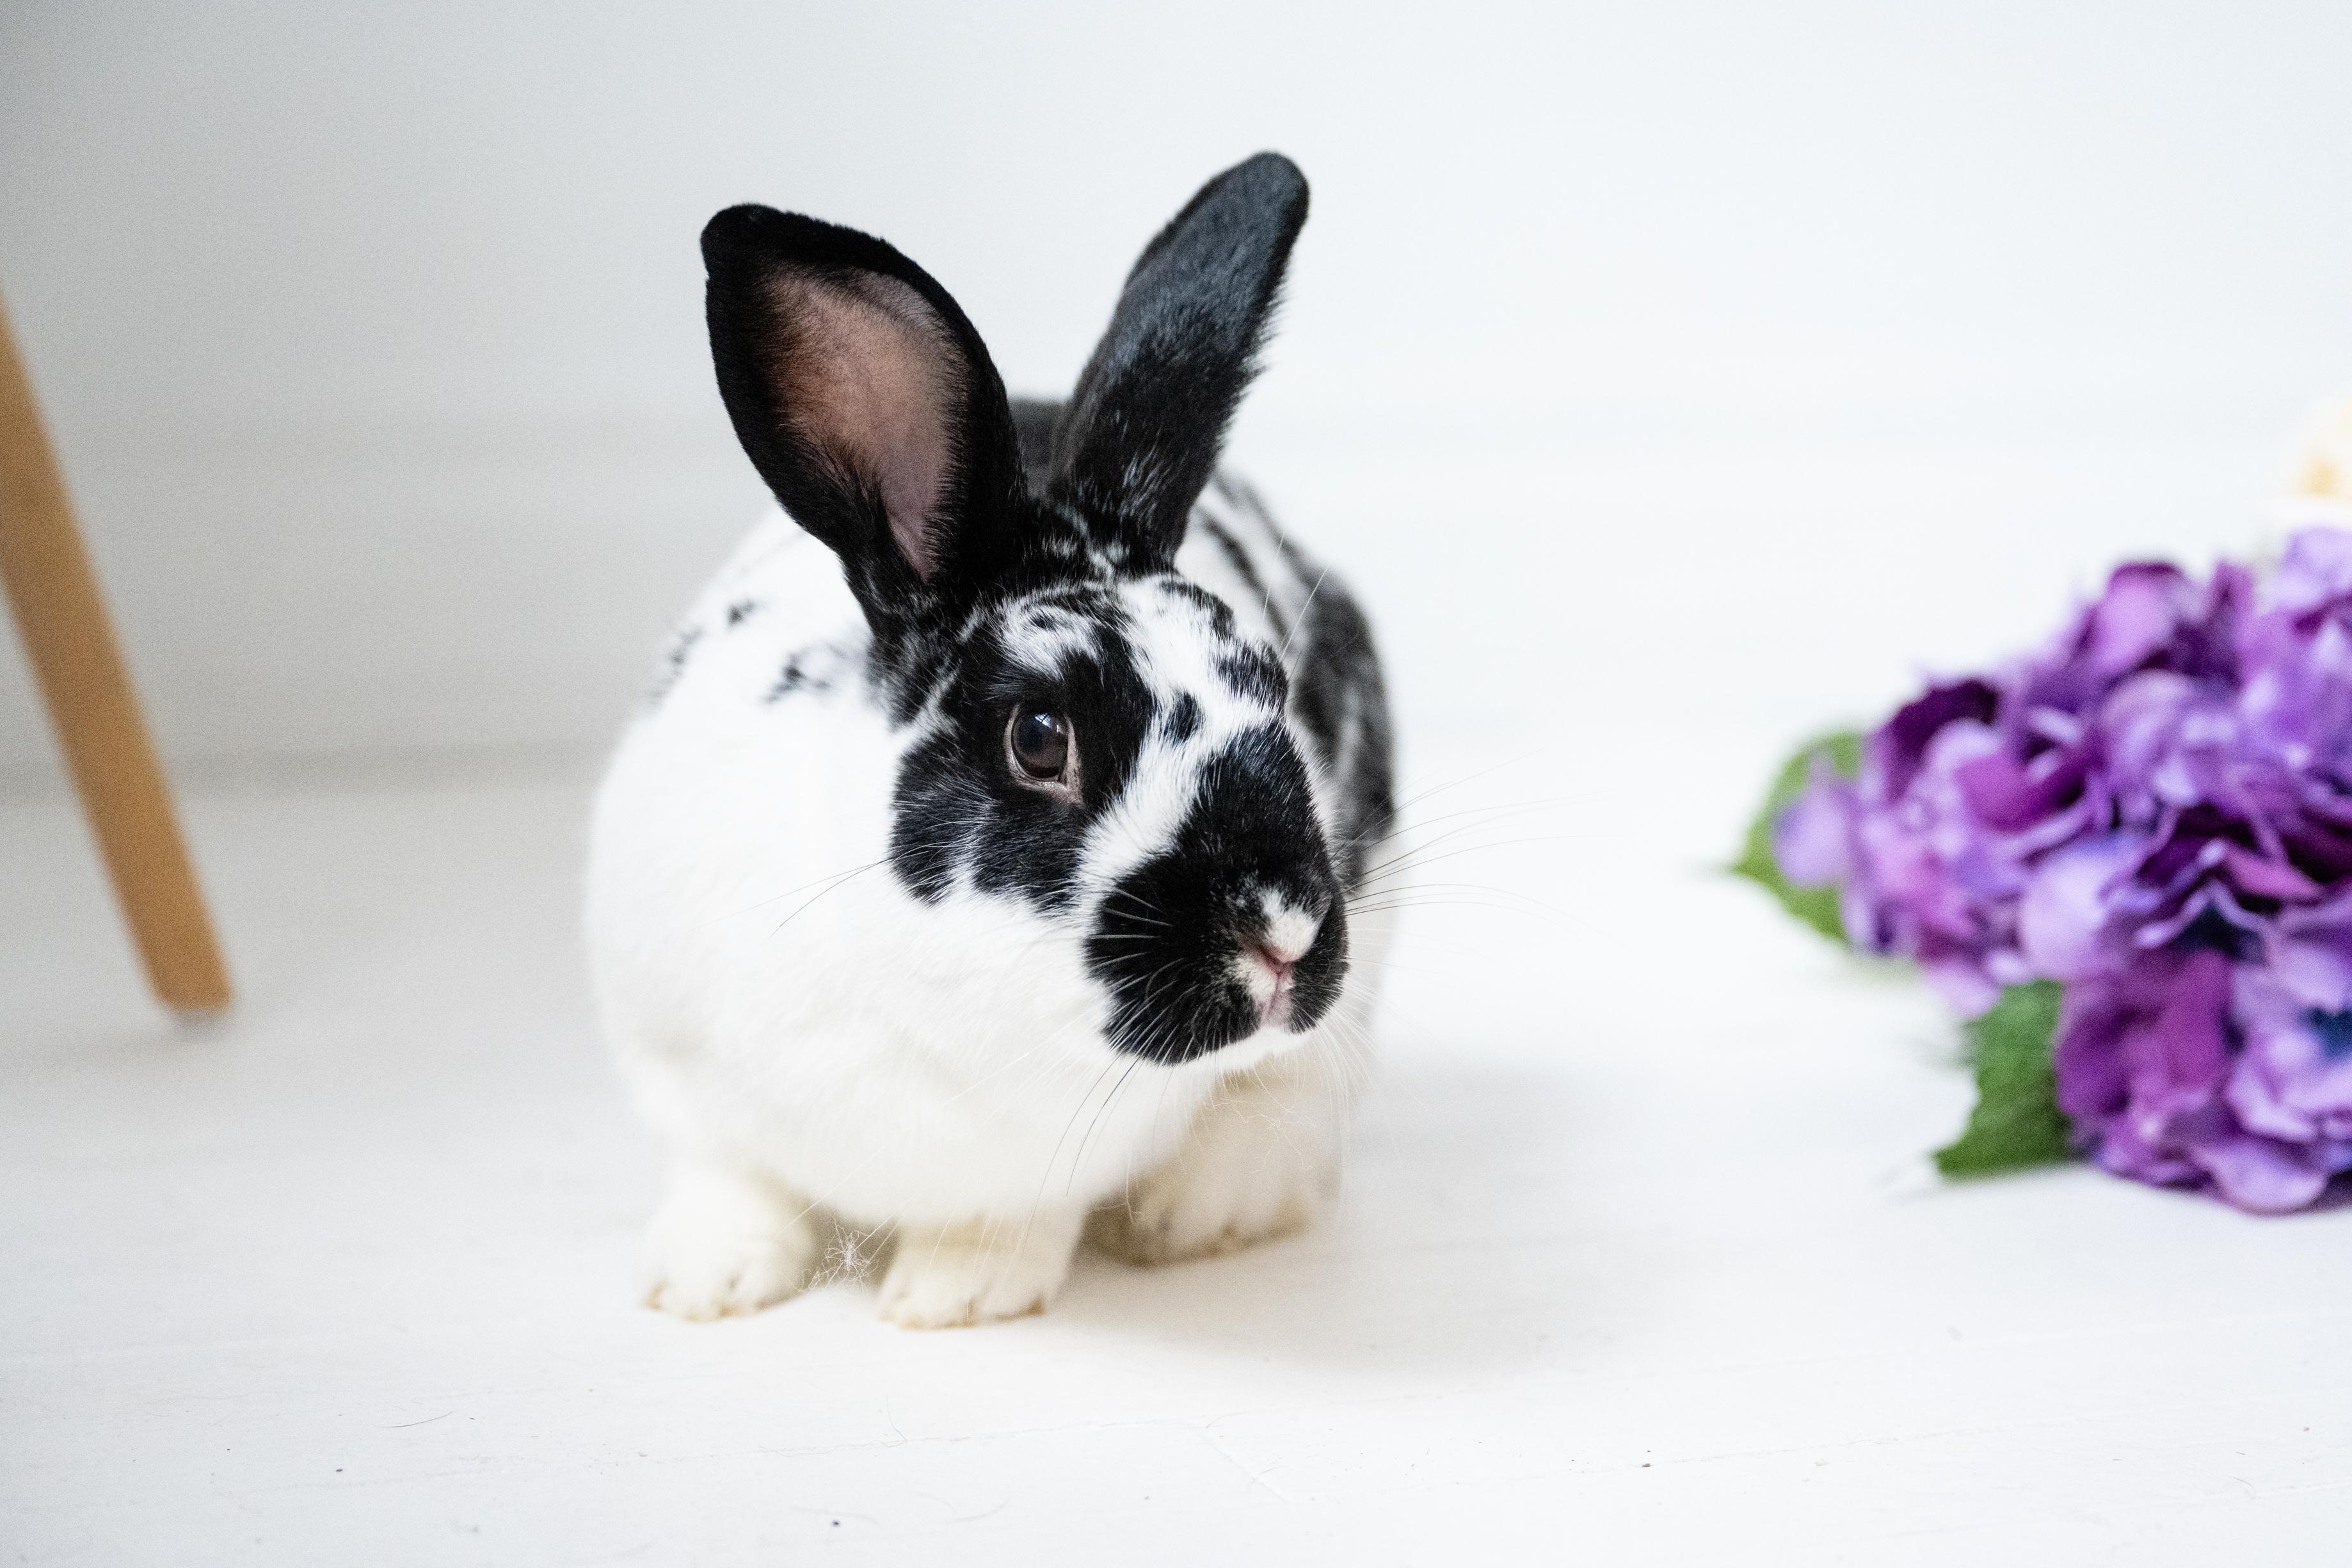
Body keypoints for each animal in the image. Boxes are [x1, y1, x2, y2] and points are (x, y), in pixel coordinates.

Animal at [585, 152, 1395, 1328]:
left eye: (1270, 684)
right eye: (1040, 737)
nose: (1283, 929)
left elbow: (1007, 1221)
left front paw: (951, 1297)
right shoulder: (669, 1058)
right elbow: (724, 1174)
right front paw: (705, 1284)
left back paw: (1197, 1211)